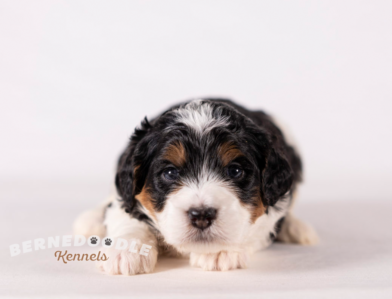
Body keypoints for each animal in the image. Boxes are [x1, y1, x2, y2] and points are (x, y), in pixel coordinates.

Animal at [73, 97, 318, 276]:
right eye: (170, 173)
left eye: (235, 171)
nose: (201, 215)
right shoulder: (126, 196)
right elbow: (126, 216)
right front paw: (126, 250)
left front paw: (220, 251)